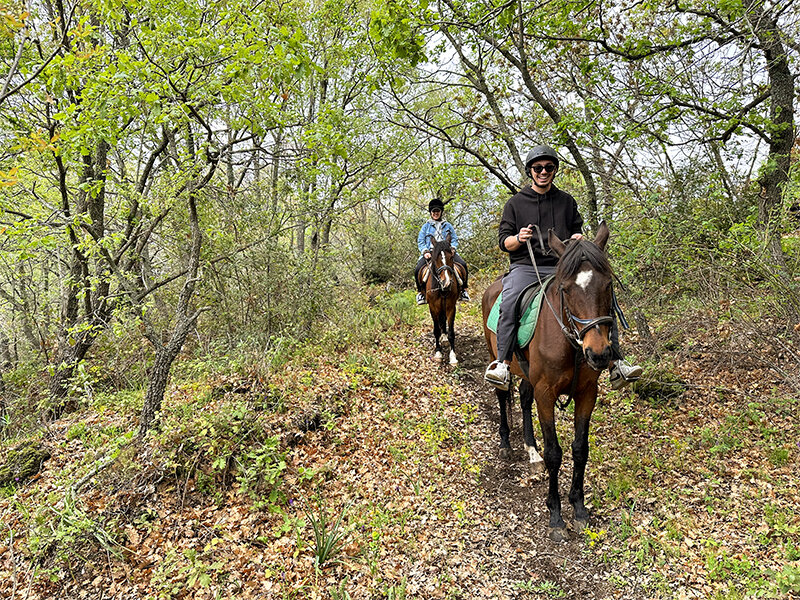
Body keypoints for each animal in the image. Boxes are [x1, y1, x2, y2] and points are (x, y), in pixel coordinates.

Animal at [418, 234, 462, 366]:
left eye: (451, 257)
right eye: (435, 258)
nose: (446, 282)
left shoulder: (451, 307)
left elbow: (451, 332)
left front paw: (453, 357)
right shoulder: (433, 307)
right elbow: (436, 330)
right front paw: (438, 353)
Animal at [482, 223, 612, 540]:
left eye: (607, 285)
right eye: (565, 289)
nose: (599, 354)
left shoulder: (587, 393)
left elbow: (580, 449)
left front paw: (579, 508)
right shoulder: (546, 394)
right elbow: (555, 453)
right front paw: (555, 516)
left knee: (523, 396)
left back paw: (532, 453)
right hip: (497, 357)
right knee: (503, 395)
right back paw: (506, 444)